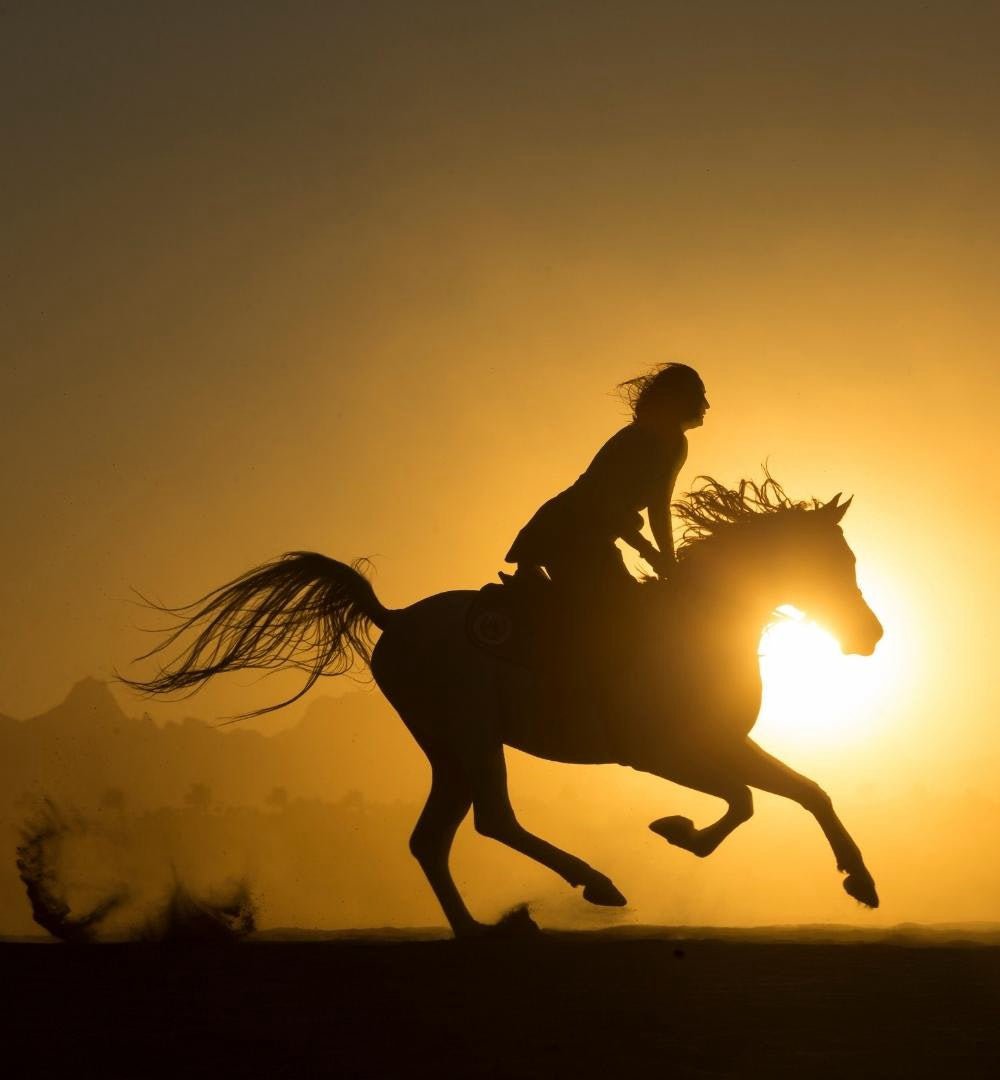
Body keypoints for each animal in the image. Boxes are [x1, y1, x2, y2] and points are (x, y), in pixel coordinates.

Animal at [123, 475, 884, 937]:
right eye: (831, 564)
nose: (870, 636)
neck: (697, 622)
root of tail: (394, 618)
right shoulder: (656, 753)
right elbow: (744, 801)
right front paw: (677, 830)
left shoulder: (723, 742)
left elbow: (806, 791)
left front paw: (861, 880)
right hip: (468, 734)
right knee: (489, 820)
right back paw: (592, 885)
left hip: (451, 746)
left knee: (434, 838)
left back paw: (480, 928)